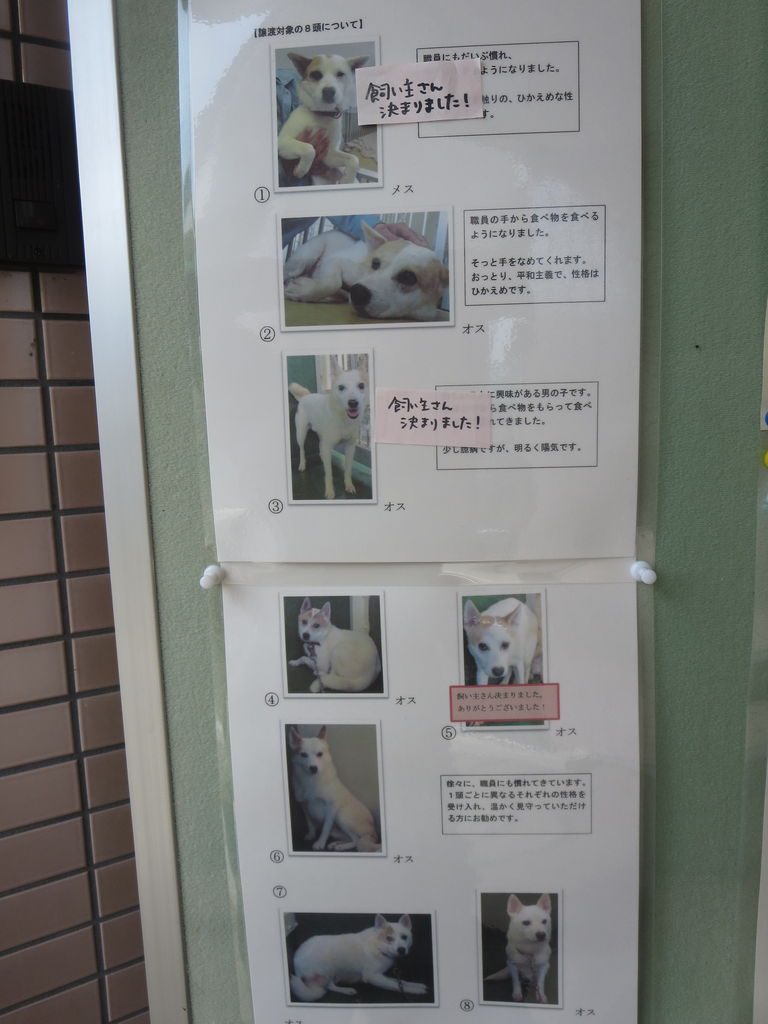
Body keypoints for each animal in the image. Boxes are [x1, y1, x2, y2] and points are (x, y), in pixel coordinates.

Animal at [278, 52, 369, 185]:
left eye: (340, 74)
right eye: (316, 75)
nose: (329, 91)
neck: (322, 114)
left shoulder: (328, 155)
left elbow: (354, 159)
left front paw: (348, 179)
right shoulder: (282, 142)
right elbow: (309, 148)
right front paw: (301, 170)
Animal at [284, 221, 449, 321]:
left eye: (409, 277)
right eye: (374, 263)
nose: (358, 291)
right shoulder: (335, 262)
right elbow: (333, 282)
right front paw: (302, 291)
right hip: (305, 257)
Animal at [288, 363, 368, 500]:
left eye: (361, 385)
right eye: (341, 387)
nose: (353, 403)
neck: (343, 418)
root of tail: (306, 396)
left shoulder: (350, 446)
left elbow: (348, 470)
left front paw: (349, 485)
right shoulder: (328, 445)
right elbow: (328, 473)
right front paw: (330, 491)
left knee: (321, 450)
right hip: (301, 434)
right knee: (302, 449)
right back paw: (302, 464)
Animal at [290, 914, 428, 1001]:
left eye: (404, 937)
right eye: (389, 938)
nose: (401, 950)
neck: (378, 947)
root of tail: (296, 959)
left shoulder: (380, 975)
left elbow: (401, 982)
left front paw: (417, 985)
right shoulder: (373, 977)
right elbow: (396, 986)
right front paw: (416, 991)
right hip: (327, 969)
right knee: (329, 986)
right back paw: (346, 990)